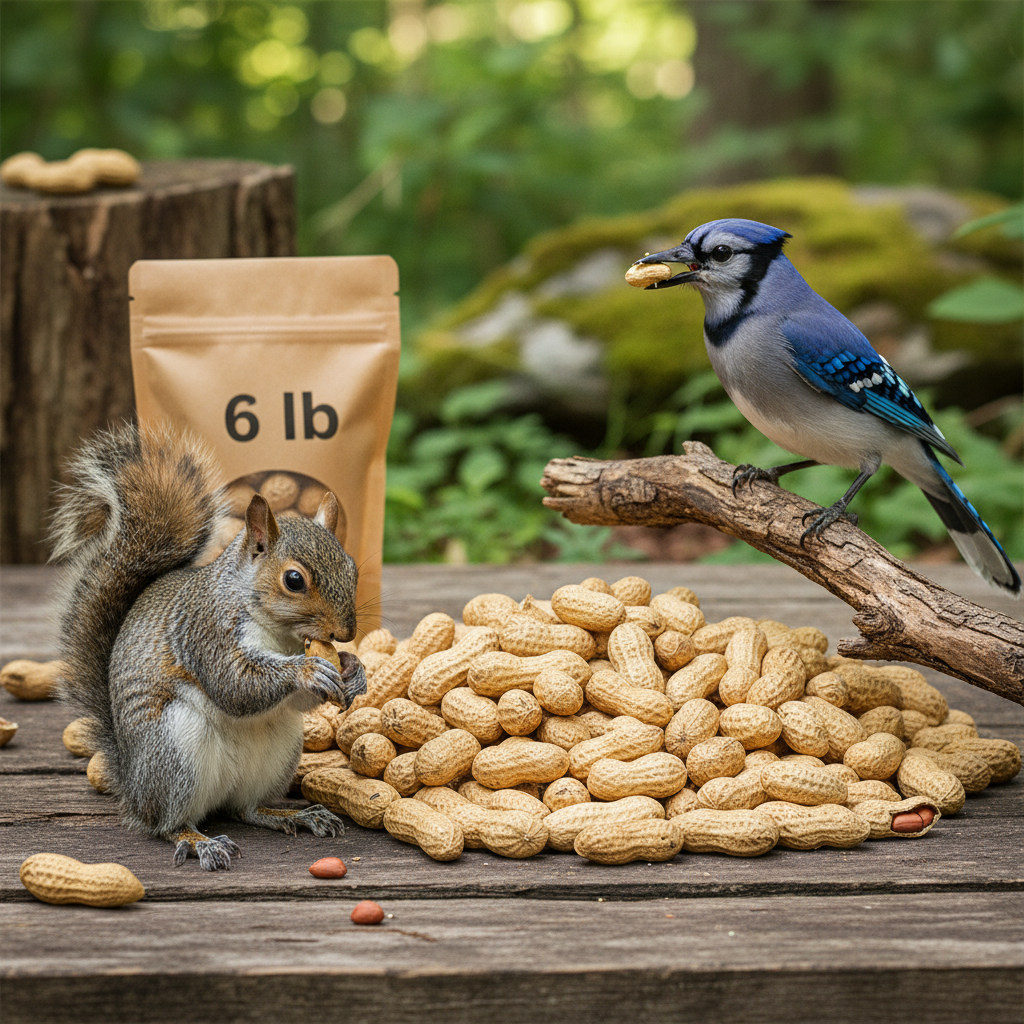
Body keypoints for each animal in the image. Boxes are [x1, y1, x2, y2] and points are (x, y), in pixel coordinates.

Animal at [49, 422, 367, 870]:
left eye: (352, 568)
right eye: (293, 580)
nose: (345, 632)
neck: (280, 634)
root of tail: (133, 785)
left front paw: (354, 670)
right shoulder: (206, 632)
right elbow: (235, 684)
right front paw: (306, 670)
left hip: (278, 753)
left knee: (246, 809)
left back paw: (293, 815)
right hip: (174, 753)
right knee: (165, 824)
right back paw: (199, 841)